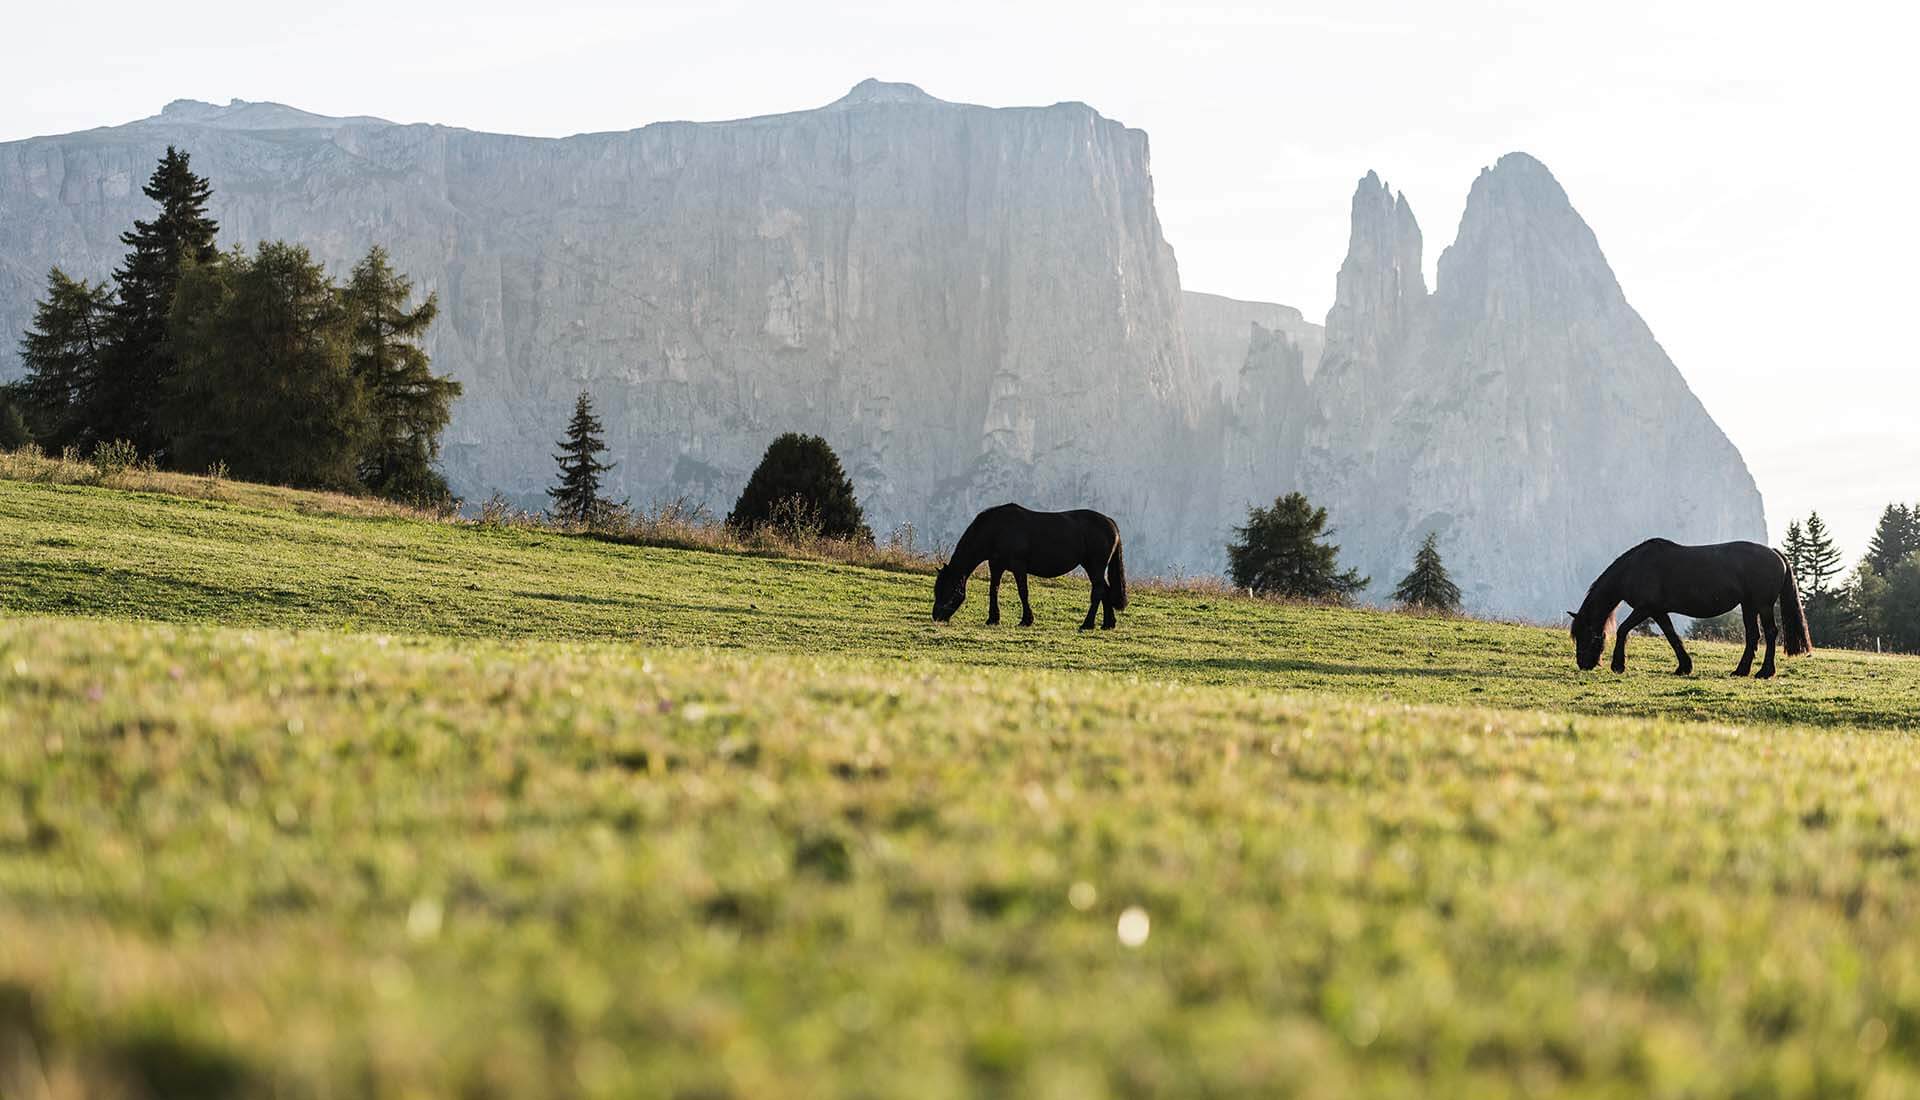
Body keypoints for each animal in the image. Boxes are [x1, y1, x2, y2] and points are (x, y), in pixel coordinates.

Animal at [929, 502, 1121, 629]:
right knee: (1105, 589)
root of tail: (1110, 522)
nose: (936, 616)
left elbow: (1023, 592)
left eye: (948, 590)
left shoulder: (1018, 566)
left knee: (1098, 591)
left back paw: (1087, 624)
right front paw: (993, 619)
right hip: (1092, 567)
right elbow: (993, 589)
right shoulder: (996, 565)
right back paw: (1108, 624)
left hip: (1095, 566)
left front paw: (1026, 620)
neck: (996, 529)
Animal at [1566, 537, 1804, 671]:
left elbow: (1623, 630)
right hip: (1749, 606)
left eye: (1585, 635)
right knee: (1753, 635)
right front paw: (1684, 667)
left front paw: (1618, 665)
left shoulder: (1645, 608)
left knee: (1771, 633)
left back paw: (1765, 672)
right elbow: (1672, 636)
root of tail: (1775, 553)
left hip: (1763, 605)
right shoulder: (1658, 611)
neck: (1634, 569)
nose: (1583, 664)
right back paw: (1741, 670)